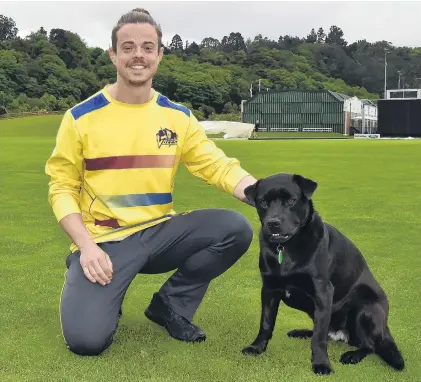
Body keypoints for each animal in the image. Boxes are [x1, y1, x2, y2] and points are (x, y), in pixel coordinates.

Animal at [243, 174, 404, 376]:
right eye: (263, 202)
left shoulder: (323, 292)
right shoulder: (269, 289)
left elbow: (319, 338)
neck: (286, 248)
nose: (273, 223)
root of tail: (385, 325)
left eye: (291, 200)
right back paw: (302, 332)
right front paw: (257, 347)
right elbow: (265, 324)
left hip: (365, 308)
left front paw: (321, 364)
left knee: (369, 345)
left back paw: (352, 355)